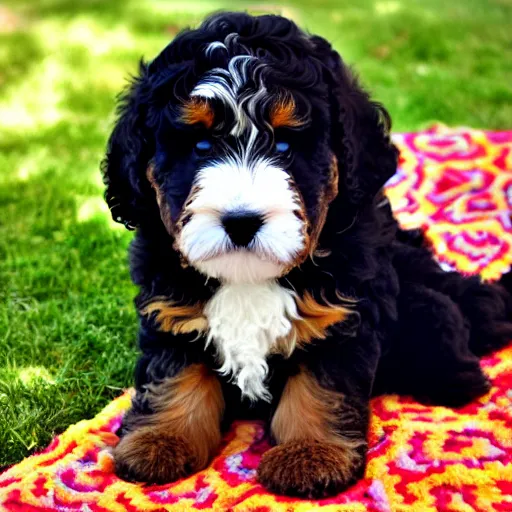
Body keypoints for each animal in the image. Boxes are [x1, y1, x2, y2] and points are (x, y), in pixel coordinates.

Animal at [101, 12, 512, 498]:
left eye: (284, 146)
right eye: (200, 147)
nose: (241, 220)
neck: (249, 279)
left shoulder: (343, 315)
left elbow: (320, 389)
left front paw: (310, 455)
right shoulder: (170, 309)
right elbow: (173, 374)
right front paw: (161, 439)